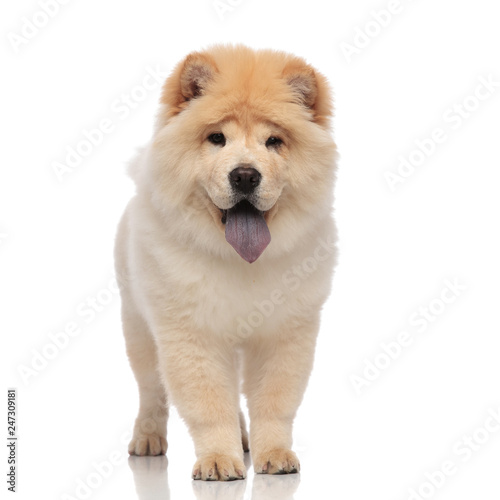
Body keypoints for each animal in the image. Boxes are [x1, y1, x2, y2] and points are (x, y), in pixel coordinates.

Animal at [115, 46, 338, 480]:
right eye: (217, 138)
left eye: (274, 141)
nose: (246, 175)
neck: (240, 262)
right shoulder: (191, 334)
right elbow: (208, 403)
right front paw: (219, 460)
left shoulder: (284, 333)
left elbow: (274, 402)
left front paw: (275, 456)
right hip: (139, 327)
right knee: (151, 391)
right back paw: (148, 440)